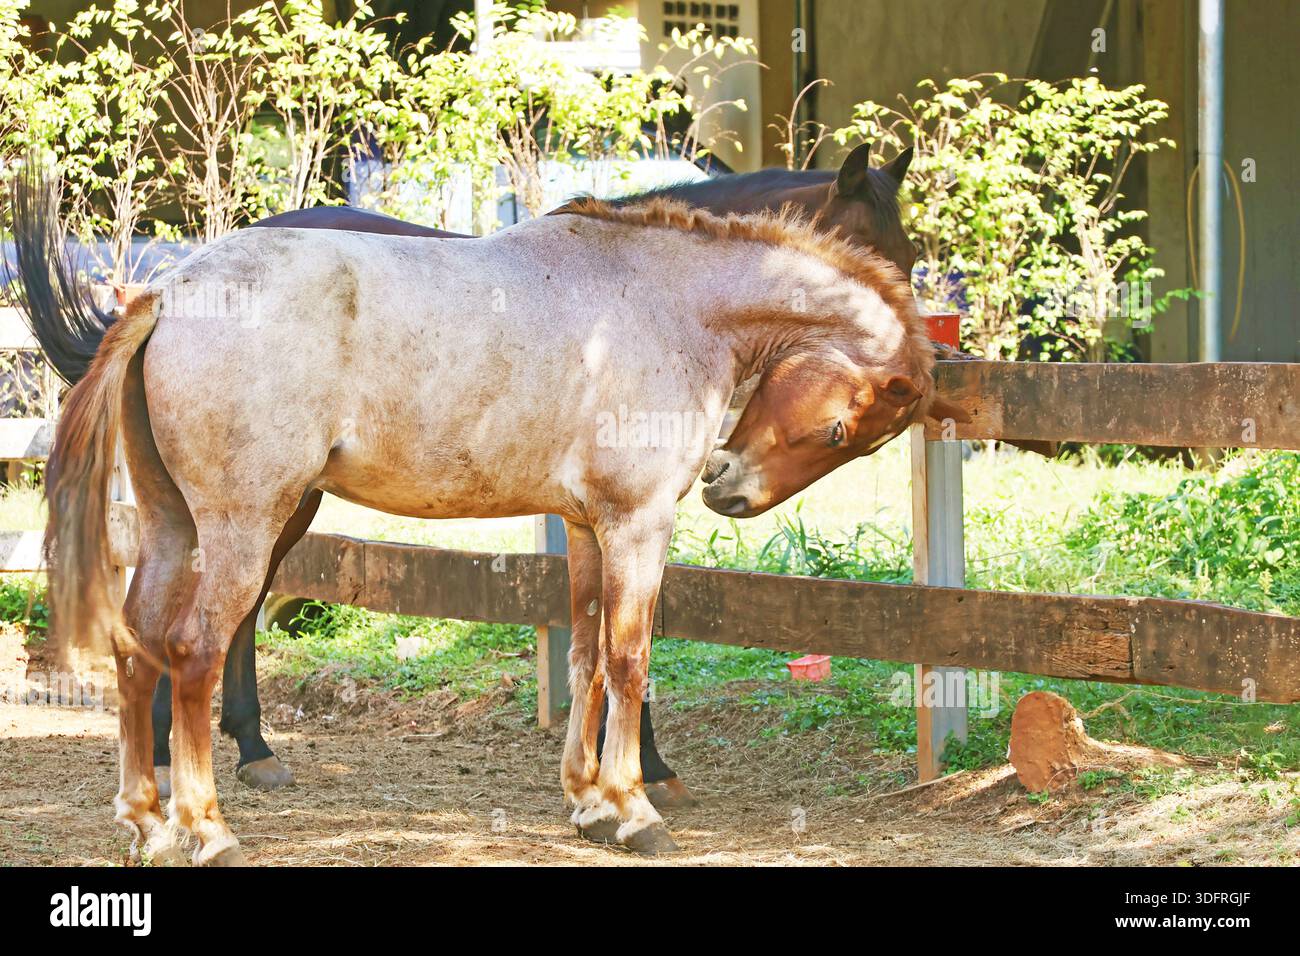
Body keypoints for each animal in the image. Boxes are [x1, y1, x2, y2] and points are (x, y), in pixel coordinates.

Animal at [43, 195, 959, 862]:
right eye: (841, 432)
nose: (728, 490)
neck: (662, 300)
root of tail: (168, 294)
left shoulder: (587, 528)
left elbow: (587, 655)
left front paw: (589, 801)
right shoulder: (638, 523)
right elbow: (630, 660)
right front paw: (635, 810)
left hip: (173, 528)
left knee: (138, 648)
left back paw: (148, 821)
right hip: (242, 529)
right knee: (193, 652)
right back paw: (206, 828)